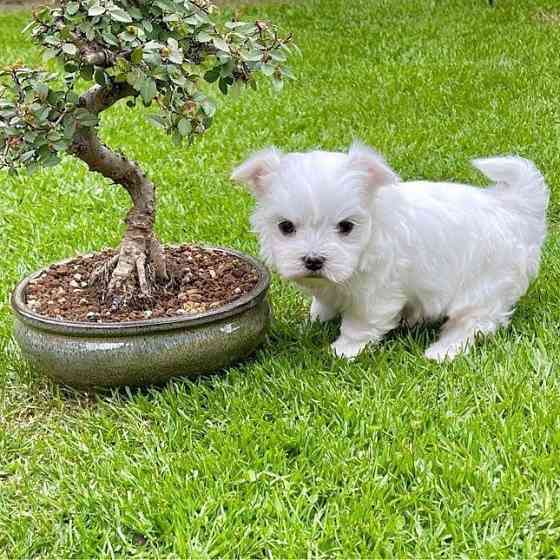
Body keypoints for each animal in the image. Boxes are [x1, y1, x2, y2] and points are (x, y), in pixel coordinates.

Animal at [231, 144, 548, 360]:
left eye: (346, 227)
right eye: (285, 227)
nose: (313, 260)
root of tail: (514, 207)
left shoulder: (376, 292)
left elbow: (360, 322)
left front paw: (344, 349)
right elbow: (325, 302)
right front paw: (316, 319)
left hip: (483, 285)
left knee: (475, 322)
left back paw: (442, 351)